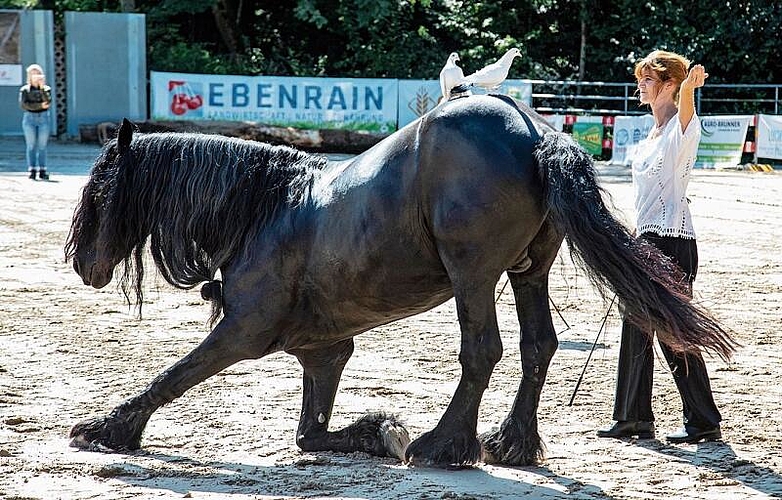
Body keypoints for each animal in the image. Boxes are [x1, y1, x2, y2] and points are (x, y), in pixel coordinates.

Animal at [66, 95, 736, 466]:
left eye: (99, 192)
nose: (80, 263)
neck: (264, 208)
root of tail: (535, 130)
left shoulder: (243, 332)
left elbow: (175, 375)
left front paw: (108, 429)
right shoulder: (324, 351)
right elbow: (312, 432)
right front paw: (374, 432)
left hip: (473, 272)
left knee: (482, 350)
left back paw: (445, 445)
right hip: (527, 273)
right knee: (536, 347)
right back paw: (510, 442)